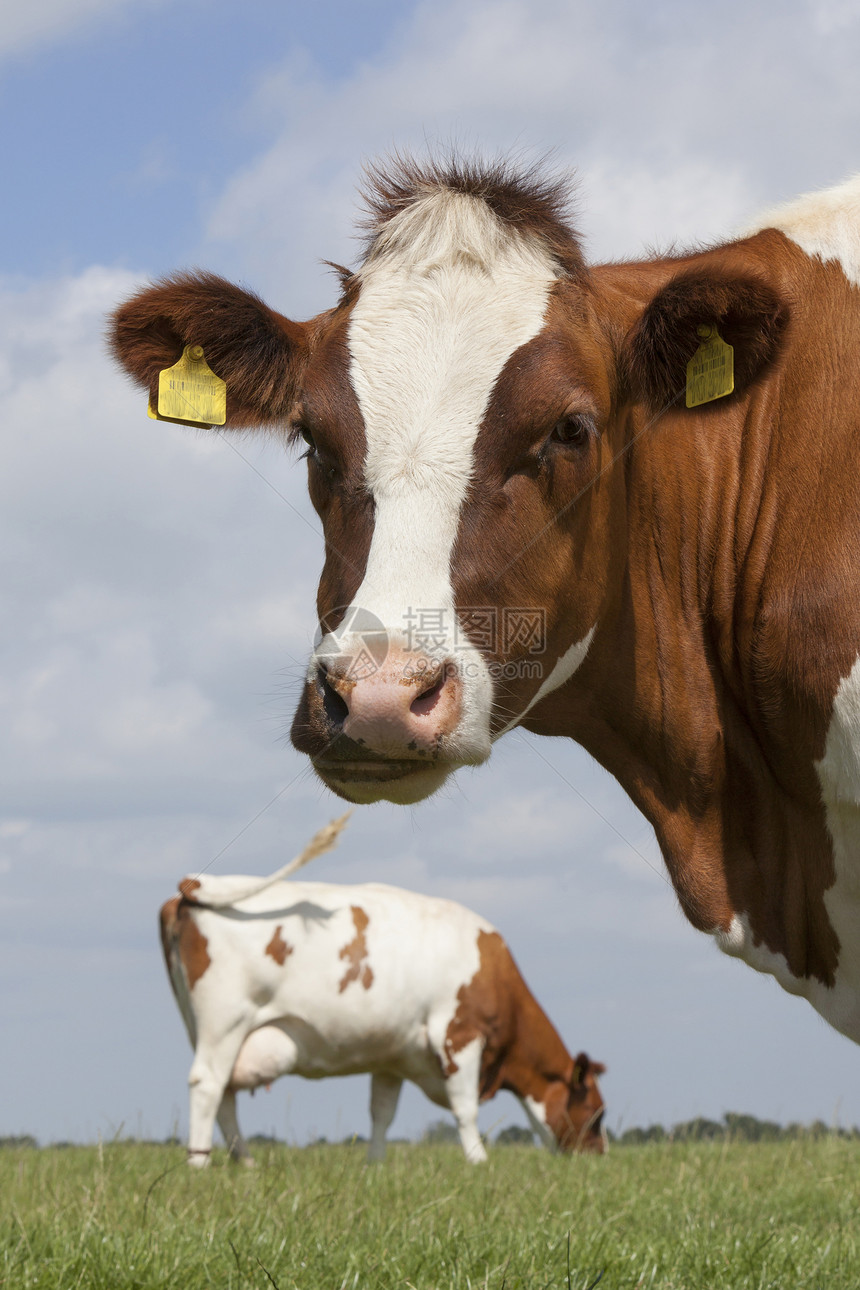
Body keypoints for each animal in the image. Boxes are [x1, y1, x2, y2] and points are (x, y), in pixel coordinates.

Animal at [159, 872, 605, 1166]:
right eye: (597, 1113)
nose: (598, 1158)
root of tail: (193, 887)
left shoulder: (392, 1055)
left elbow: (381, 1114)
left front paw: (375, 1164)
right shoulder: (459, 1034)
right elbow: (465, 1108)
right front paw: (479, 1161)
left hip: (204, 1027)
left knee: (226, 1094)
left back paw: (246, 1162)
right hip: (224, 1020)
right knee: (208, 1084)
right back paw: (200, 1163)